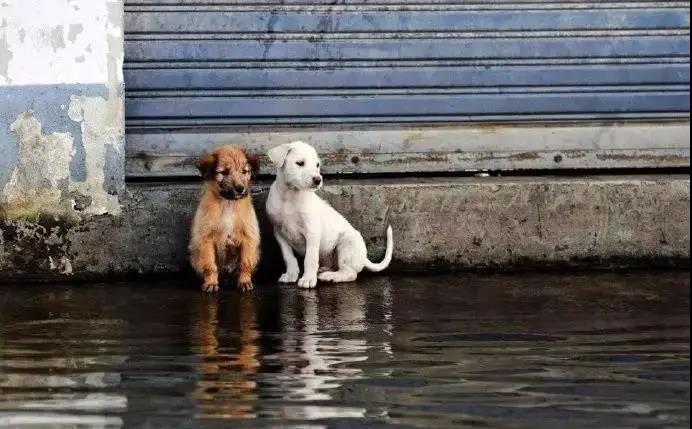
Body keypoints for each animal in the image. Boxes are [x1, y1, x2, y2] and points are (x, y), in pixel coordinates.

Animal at [191, 145, 260, 292]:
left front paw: (244, 281)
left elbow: (245, 263)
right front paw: (211, 283)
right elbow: (210, 265)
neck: (229, 203)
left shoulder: (249, 238)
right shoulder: (206, 238)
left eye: (244, 171)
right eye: (224, 172)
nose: (240, 189)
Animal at [266, 140, 394, 288]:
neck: (290, 196)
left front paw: (308, 279)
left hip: (347, 244)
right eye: (300, 163)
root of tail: (364, 258)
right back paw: (324, 270)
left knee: (350, 273)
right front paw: (291, 274)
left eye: (317, 165)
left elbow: (310, 258)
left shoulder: (312, 232)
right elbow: (288, 256)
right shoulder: (279, 232)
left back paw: (330, 276)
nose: (318, 180)